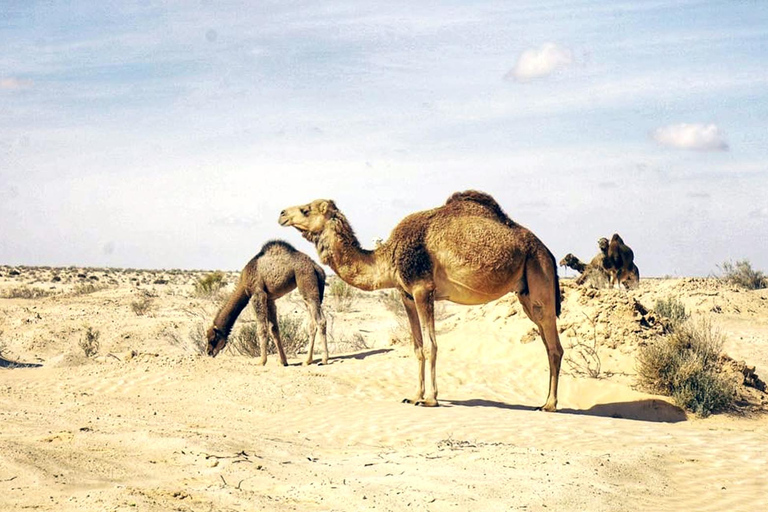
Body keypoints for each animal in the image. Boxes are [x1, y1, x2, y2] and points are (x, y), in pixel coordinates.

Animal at [282, 191, 564, 412]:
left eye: (306, 210)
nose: (282, 213)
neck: (388, 257)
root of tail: (547, 251)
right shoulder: (406, 295)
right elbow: (417, 347)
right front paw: (414, 395)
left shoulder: (422, 290)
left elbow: (431, 346)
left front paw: (430, 399)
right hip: (525, 293)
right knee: (548, 342)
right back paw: (546, 401)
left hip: (538, 274)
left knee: (554, 346)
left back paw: (549, 404)